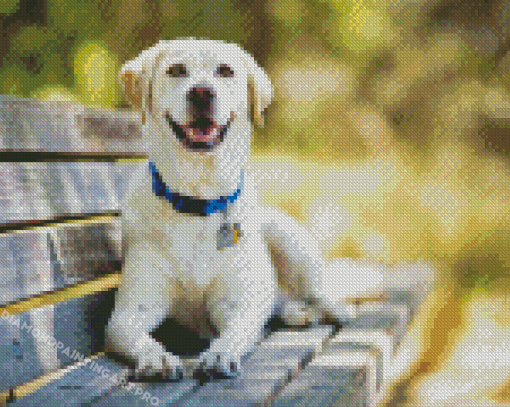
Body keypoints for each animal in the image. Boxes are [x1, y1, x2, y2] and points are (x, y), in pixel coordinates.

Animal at [105, 39, 356, 382]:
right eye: (176, 70)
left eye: (225, 71)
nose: (201, 92)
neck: (198, 200)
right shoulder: (131, 310)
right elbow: (138, 336)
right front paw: (157, 358)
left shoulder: (240, 304)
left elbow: (234, 333)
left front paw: (219, 354)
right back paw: (295, 311)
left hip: (286, 238)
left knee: (316, 293)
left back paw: (325, 310)